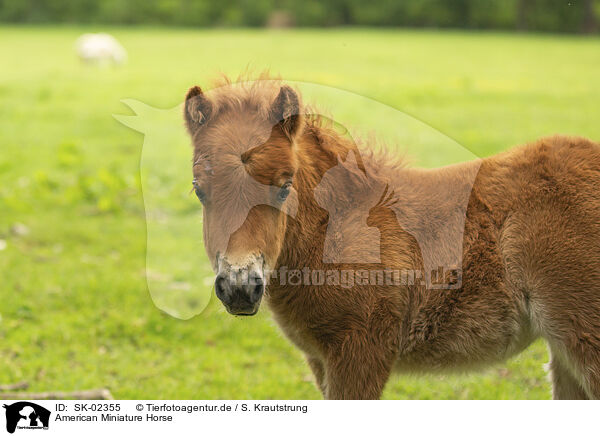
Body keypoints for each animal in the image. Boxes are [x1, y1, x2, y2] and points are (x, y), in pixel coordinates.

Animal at [182, 78, 600, 398]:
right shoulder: (321, 359)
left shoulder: (362, 351)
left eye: (285, 188)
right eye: (199, 191)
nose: (240, 287)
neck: (337, 230)